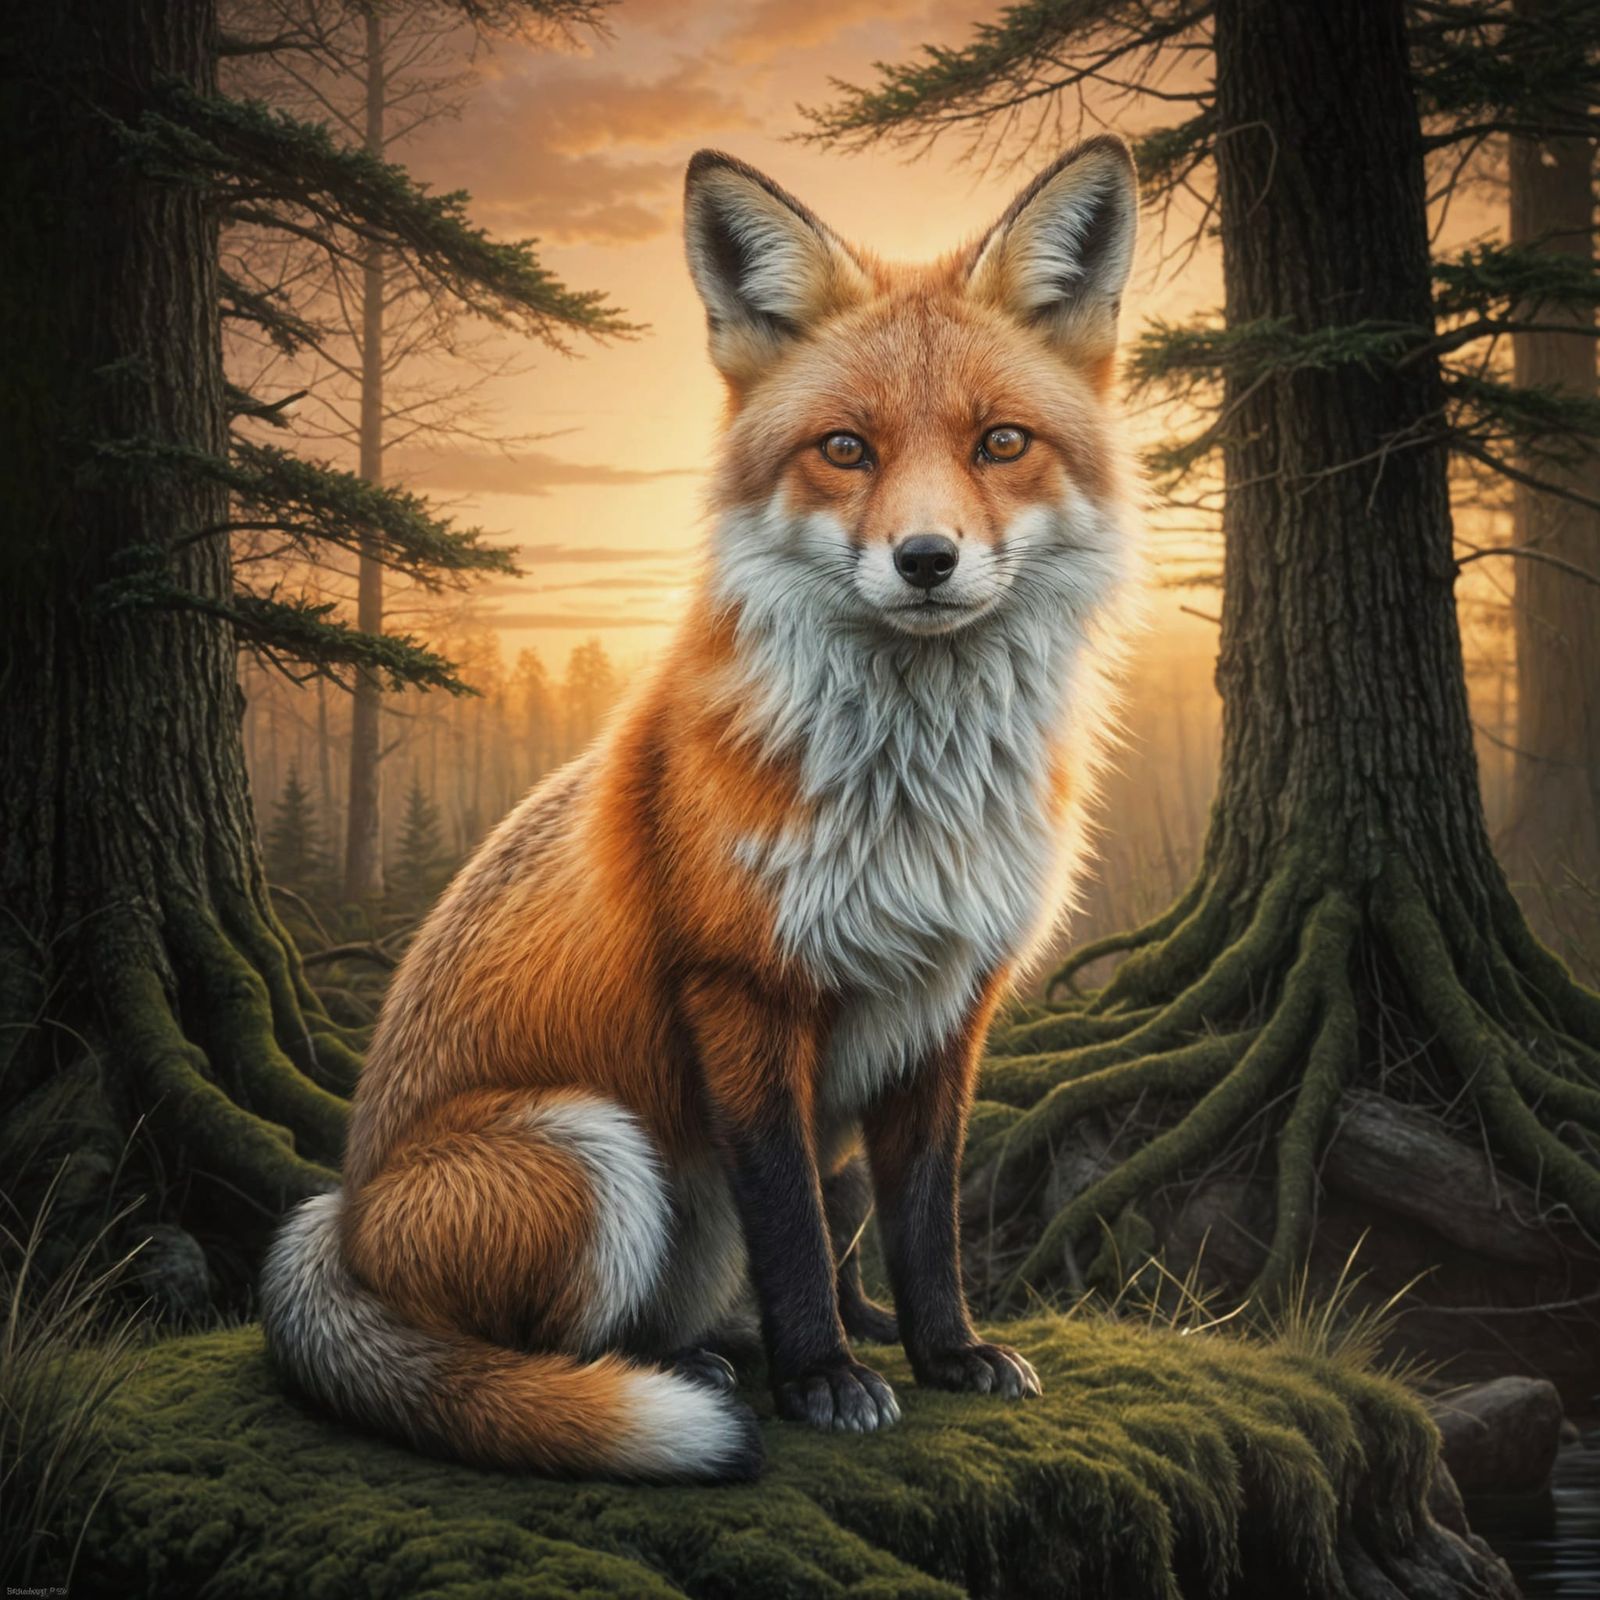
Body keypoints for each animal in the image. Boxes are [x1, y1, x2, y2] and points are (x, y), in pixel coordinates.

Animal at [261, 135, 1140, 1483]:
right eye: (845, 449)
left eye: (1000, 442)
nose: (925, 560)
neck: (909, 797)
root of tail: (343, 1218)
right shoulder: (743, 990)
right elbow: (792, 1224)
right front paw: (822, 1374)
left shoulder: (950, 1003)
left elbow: (919, 1219)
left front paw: (941, 1352)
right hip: (595, 1148)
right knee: (519, 1356)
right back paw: (677, 1377)